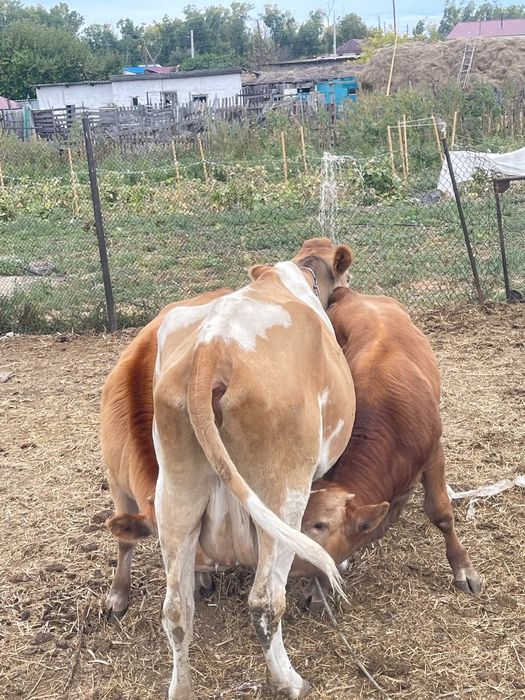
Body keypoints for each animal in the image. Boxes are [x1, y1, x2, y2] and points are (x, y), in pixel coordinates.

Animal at [294, 287, 481, 607]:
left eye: (321, 526)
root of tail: (350, 293)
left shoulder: (434, 452)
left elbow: (441, 514)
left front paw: (463, 568)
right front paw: (318, 588)